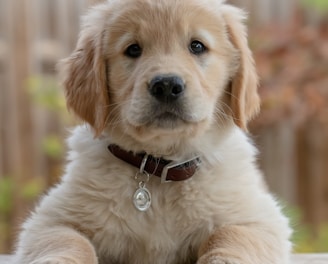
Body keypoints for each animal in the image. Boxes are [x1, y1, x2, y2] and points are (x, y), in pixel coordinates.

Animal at [14, 0, 292, 264]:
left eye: (197, 46)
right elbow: (68, 241)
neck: (159, 170)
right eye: (133, 49)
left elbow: (230, 235)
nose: (167, 85)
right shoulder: (51, 218)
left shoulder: (259, 217)